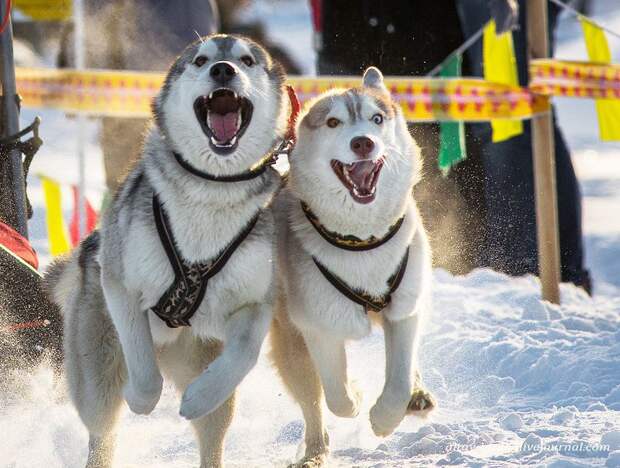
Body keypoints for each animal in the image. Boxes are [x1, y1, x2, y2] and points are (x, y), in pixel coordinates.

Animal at [45, 34, 290, 466]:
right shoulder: (121, 284)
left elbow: (244, 353)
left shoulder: (257, 300)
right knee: (102, 430)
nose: (223, 70)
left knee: (213, 432)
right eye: (201, 60)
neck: (211, 192)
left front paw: (198, 397)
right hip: (96, 374)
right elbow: (143, 369)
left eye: (246, 60)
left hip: (205, 368)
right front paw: (141, 398)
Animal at [272, 67, 436, 466]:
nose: (363, 143)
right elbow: (337, 395)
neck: (361, 240)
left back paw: (418, 396)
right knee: (314, 404)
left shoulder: (404, 310)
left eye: (377, 119)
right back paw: (314, 453)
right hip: (291, 345)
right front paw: (358, 395)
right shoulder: (317, 327)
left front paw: (385, 417)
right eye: (333, 122)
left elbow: (399, 378)